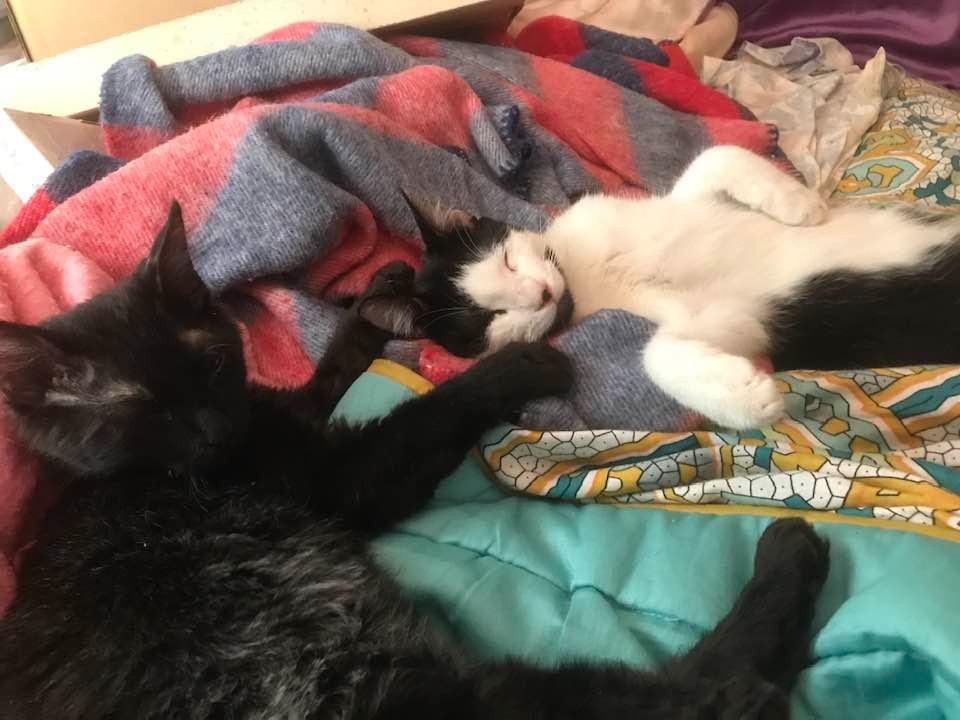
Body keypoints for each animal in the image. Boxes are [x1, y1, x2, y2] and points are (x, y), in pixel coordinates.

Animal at [0, 202, 824, 720]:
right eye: (139, 409)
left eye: (210, 365)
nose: (210, 428)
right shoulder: (337, 474)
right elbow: (433, 409)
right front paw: (525, 363)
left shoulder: (283, 422)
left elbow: (330, 372)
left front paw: (377, 295)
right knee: (692, 695)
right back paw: (784, 568)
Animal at [372, 145, 960, 428]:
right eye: (485, 321)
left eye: (507, 260)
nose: (539, 296)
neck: (583, 274)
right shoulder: (733, 319)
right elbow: (658, 356)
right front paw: (746, 397)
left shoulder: (683, 204)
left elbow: (716, 154)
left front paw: (801, 204)